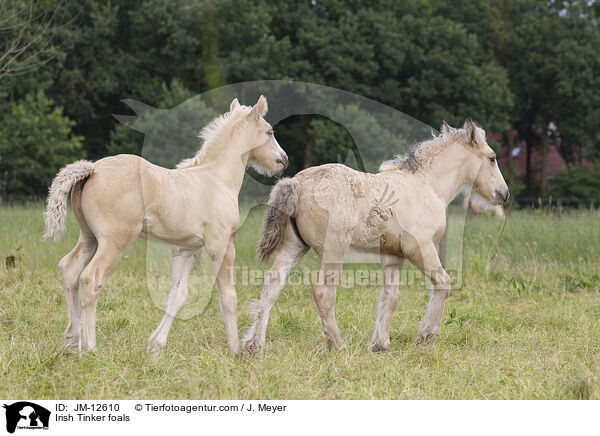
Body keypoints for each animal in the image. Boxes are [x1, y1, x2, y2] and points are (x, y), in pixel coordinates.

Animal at [43, 94, 288, 354]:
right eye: (270, 131)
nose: (283, 159)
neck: (216, 178)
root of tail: (93, 169)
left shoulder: (184, 249)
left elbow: (178, 295)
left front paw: (156, 344)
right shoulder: (221, 244)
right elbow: (228, 297)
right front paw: (234, 349)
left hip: (89, 237)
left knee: (69, 269)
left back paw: (72, 338)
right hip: (114, 241)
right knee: (91, 279)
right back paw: (89, 346)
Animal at [241, 118, 508, 354]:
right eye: (492, 158)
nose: (504, 194)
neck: (426, 185)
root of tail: (297, 182)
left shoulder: (394, 257)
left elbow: (390, 298)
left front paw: (380, 344)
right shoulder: (420, 248)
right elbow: (443, 283)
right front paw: (427, 335)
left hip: (293, 245)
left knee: (272, 285)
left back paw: (254, 344)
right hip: (333, 249)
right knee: (323, 293)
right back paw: (336, 344)